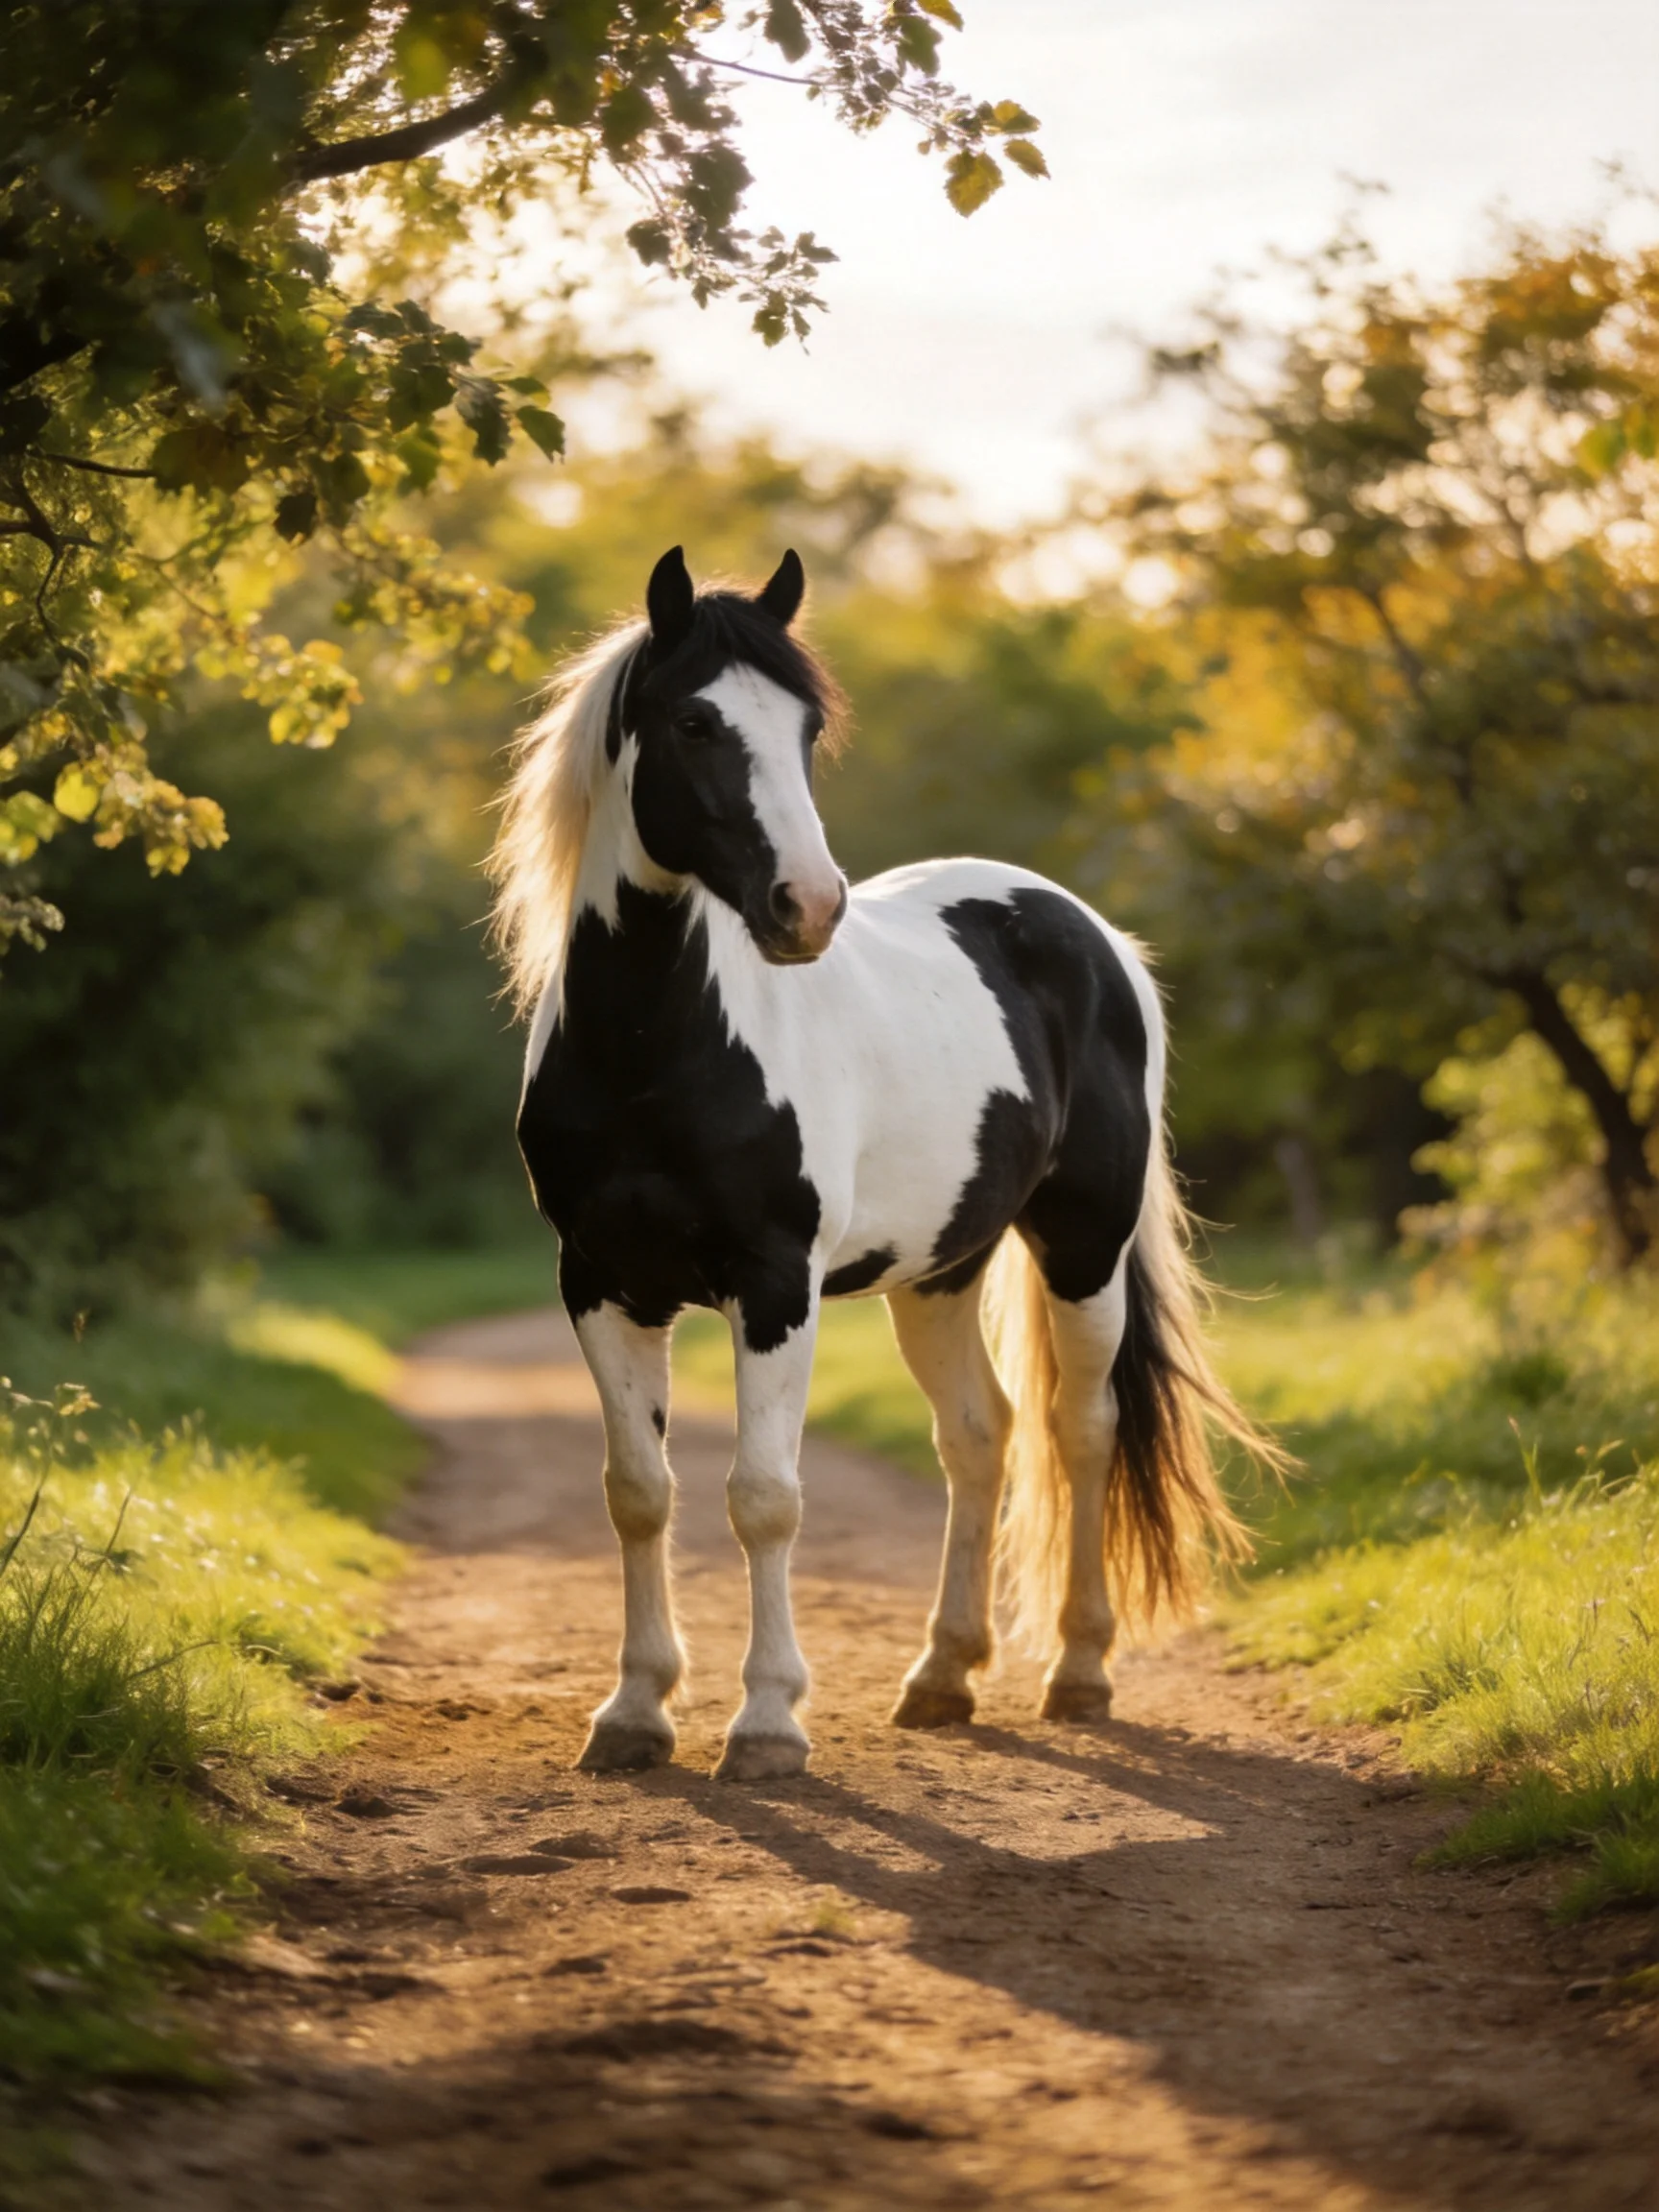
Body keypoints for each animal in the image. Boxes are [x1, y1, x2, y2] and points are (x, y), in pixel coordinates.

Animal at [491, 545, 1267, 1781]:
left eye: (807, 728)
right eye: (696, 721)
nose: (808, 909)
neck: (656, 1051)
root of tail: (1092, 935)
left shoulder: (775, 1286)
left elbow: (764, 1496)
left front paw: (767, 1723)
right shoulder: (600, 1283)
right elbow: (638, 1493)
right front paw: (634, 1713)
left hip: (1084, 1249)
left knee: (1080, 1430)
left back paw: (1079, 1671)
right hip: (941, 1274)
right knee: (981, 1437)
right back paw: (943, 1674)